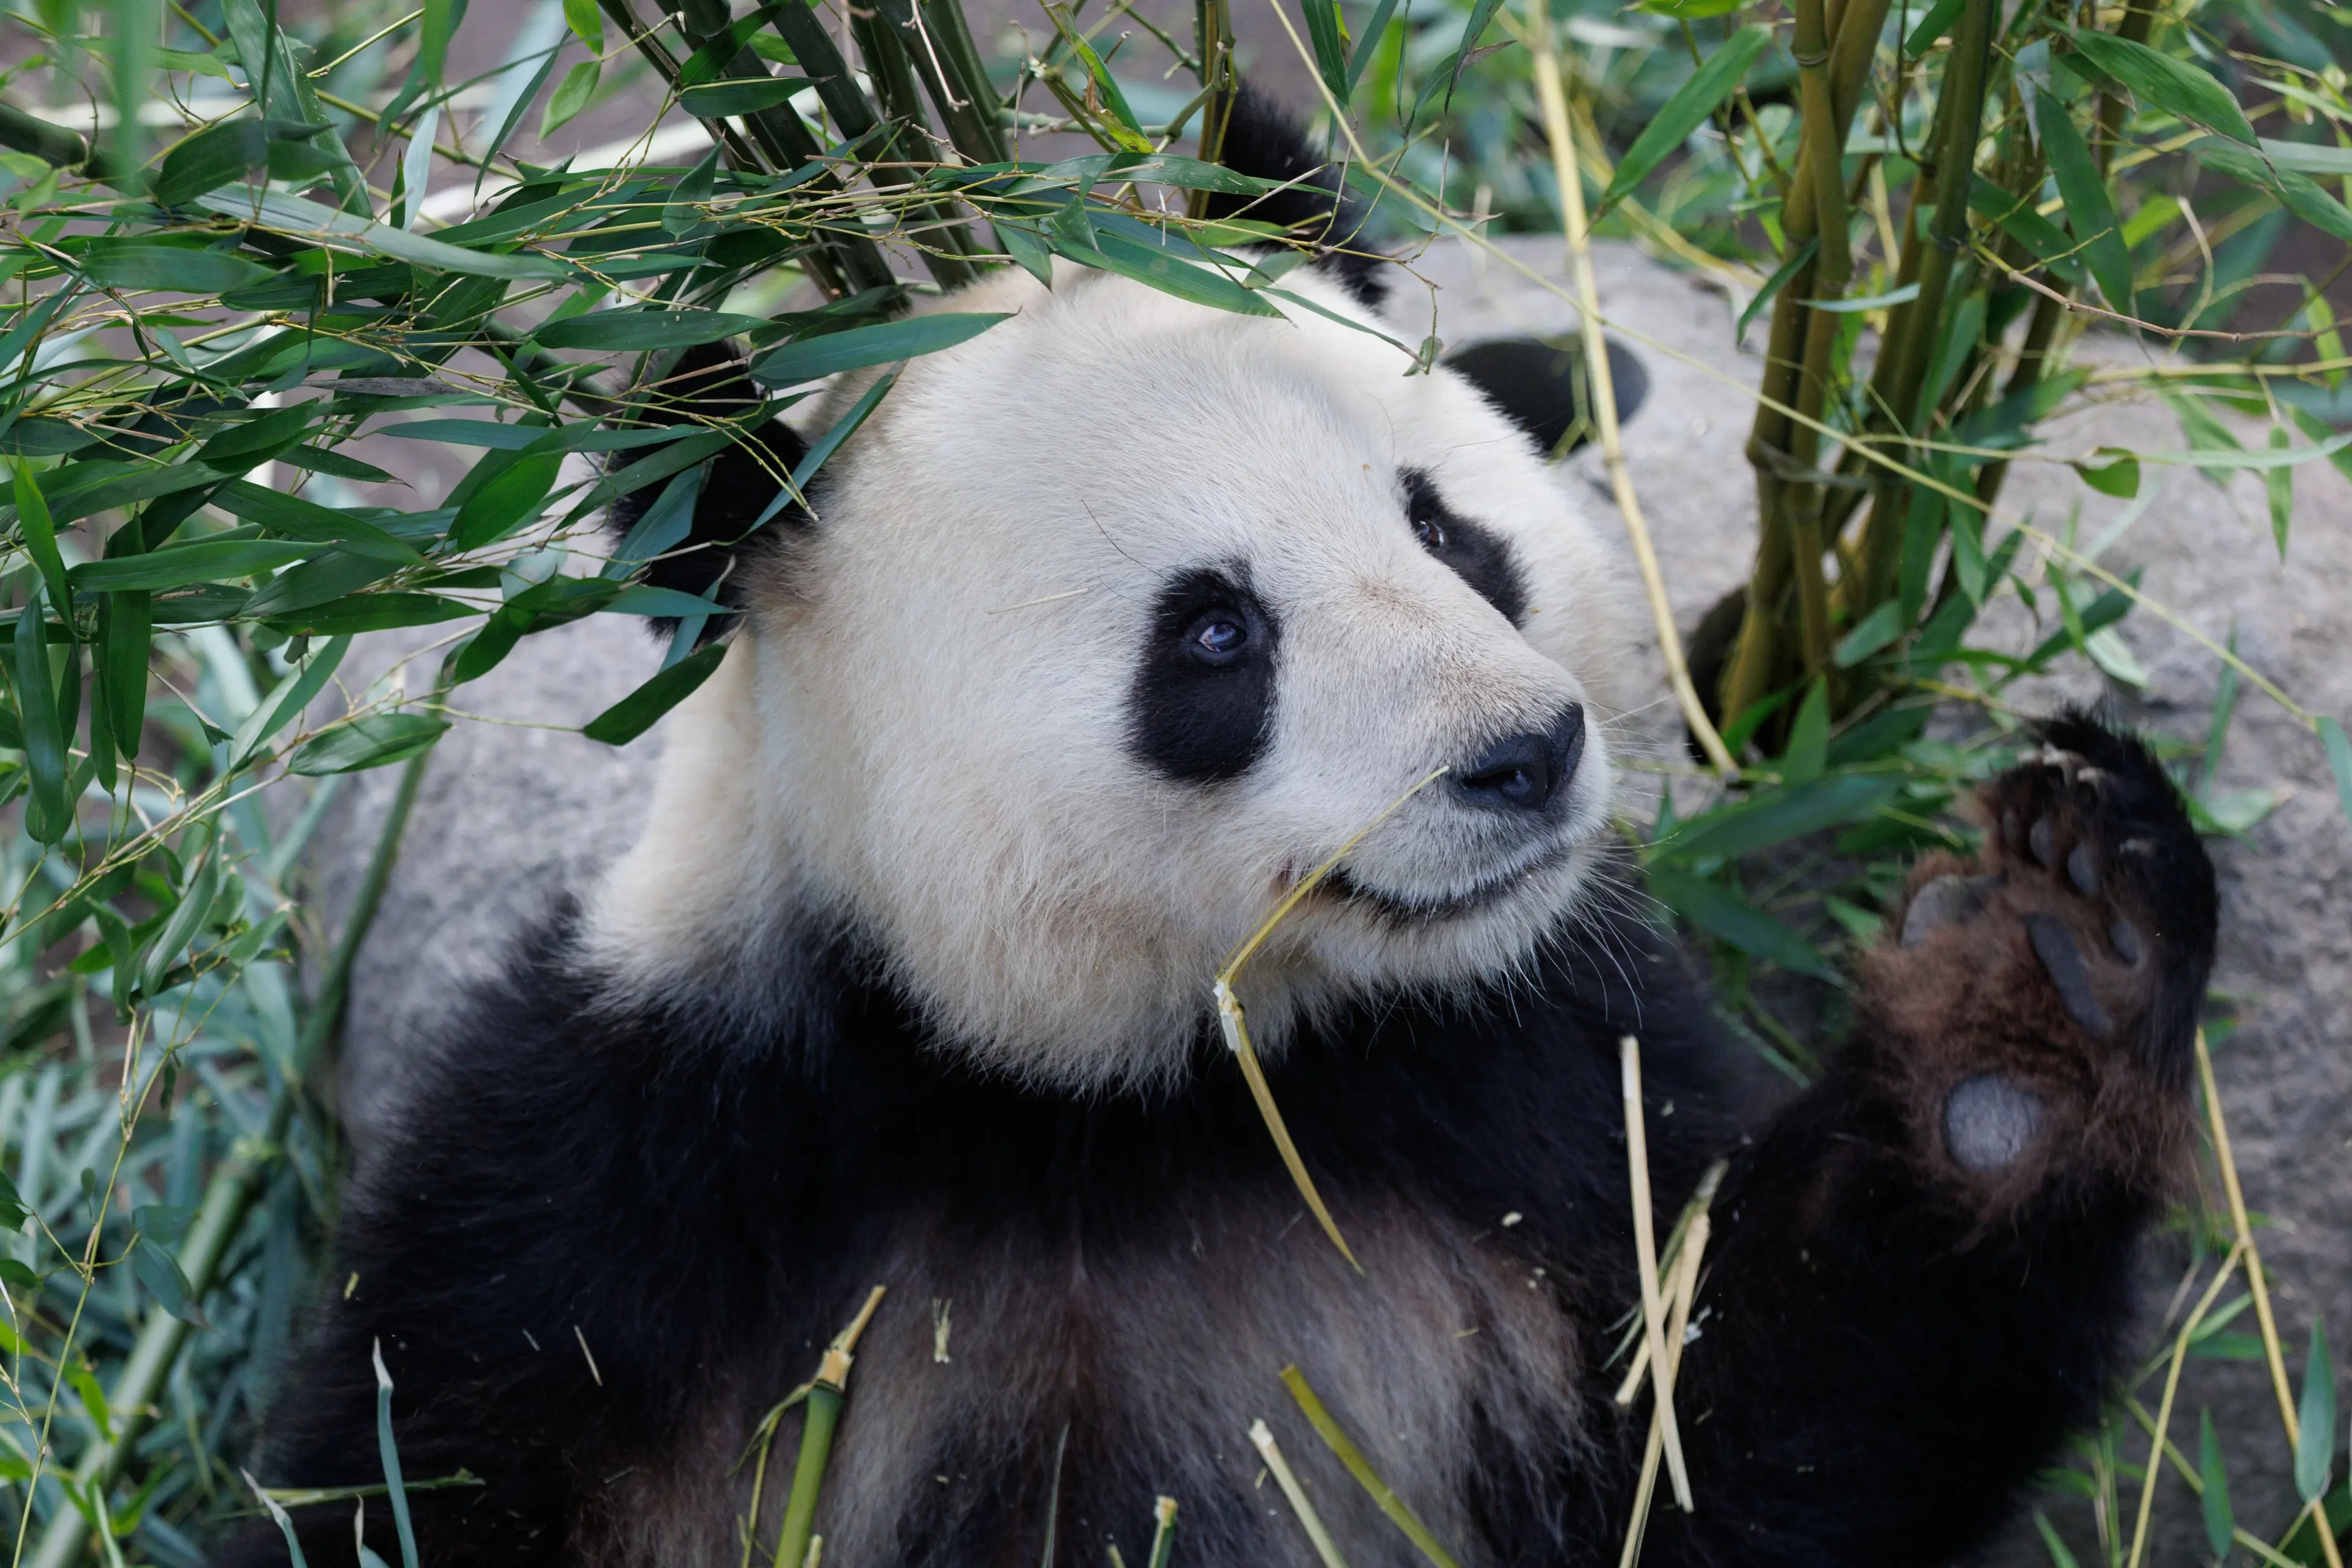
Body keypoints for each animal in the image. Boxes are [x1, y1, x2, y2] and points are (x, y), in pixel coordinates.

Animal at [229, 90, 2218, 1568]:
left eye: (1443, 526)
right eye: (1212, 636)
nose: (1524, 755)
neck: (1118, 1100)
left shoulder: (1534, 1085)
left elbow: (1725, 1447)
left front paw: (2035, 992)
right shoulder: (642, 1172)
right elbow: (417, 1472)